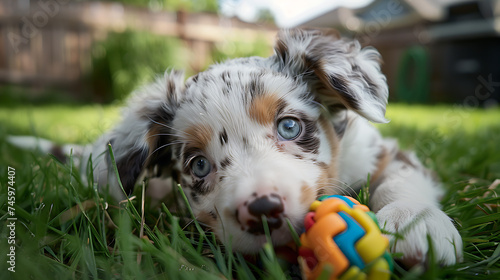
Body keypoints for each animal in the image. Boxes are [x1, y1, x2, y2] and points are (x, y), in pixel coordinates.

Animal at [9, 28, 462, 266]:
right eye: (198, 166)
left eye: (289, 126)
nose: (262, 210)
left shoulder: (381, 152)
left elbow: (399, 180)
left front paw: (414, 223)